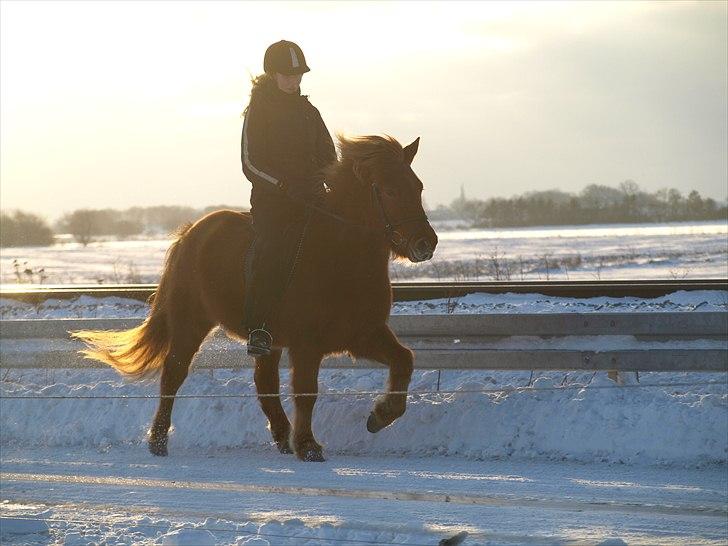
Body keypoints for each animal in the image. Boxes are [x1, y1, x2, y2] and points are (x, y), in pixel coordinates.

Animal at [72, 135, 438, 460]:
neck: (339, 258)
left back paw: (282, 436)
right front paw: (309, 447)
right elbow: (307, 391)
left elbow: (405, 359)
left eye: (418, 187)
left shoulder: (363, 334)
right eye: (390, 190)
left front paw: (380, 415)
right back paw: (159, 441)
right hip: (191, 323)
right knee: (173, 374)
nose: (426, 243)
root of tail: (193, 231)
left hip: (266, 339)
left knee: (264, 382)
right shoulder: (307, 345)